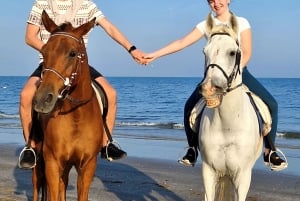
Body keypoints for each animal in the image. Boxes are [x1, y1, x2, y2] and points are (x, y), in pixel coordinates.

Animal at [31, 11, 103, 201]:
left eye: (72, 53)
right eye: (44, 51)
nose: (42, 99)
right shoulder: (52, 163)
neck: (76, 117)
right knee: (36, 185)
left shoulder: (87, 166)